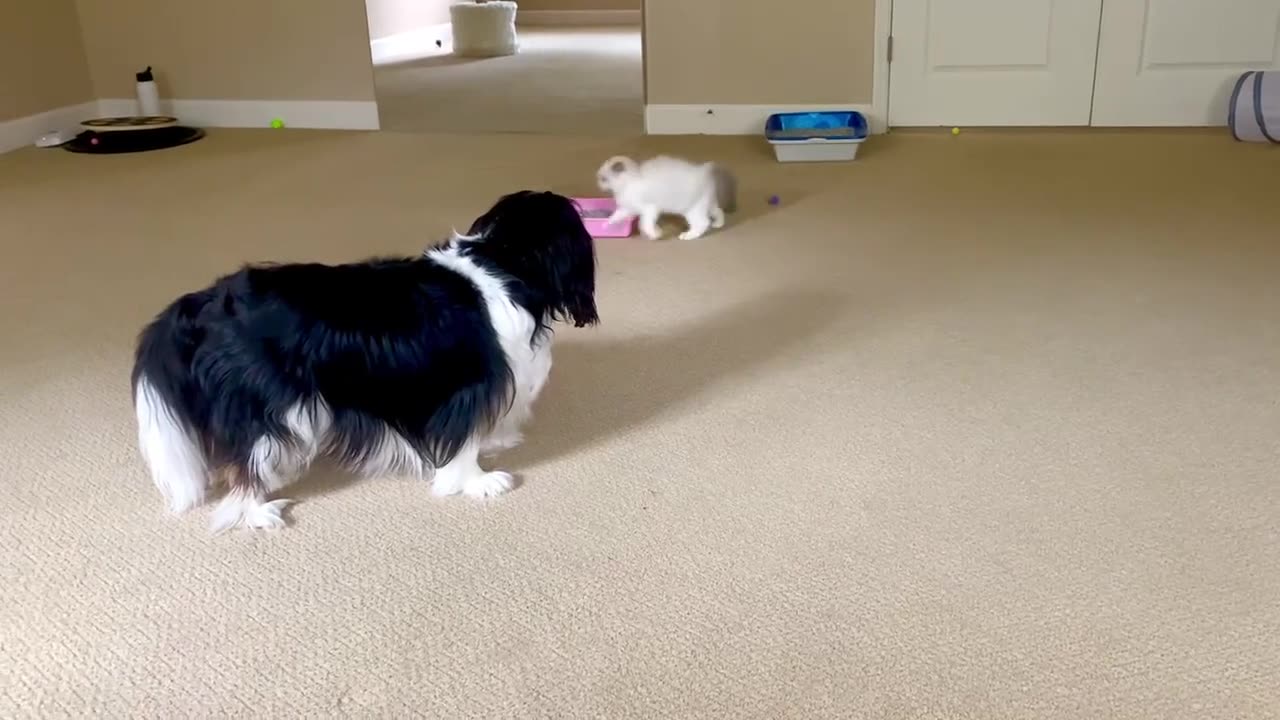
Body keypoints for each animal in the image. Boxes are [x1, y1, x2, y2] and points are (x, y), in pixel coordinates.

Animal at [129, 190, 599, 527]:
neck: (502, 260)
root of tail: (202, 302)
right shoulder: (464, 389)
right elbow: (463, 442)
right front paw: (478, 483)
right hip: (274, 402)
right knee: (243, 464)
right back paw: (257, 512)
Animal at [593, 155, 737, 240]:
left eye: (603, 179)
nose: (598, 184)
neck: (629, 182)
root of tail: (703, 171)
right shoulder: (628, 209)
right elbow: (615, 217)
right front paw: (605, 224)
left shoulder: (649, 209)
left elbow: (645, 223)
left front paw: (655, 234)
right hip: (708, 204)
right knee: (719, 211)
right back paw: (718, 224)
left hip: (692, 210)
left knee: (703, 223)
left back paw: (688, 236)